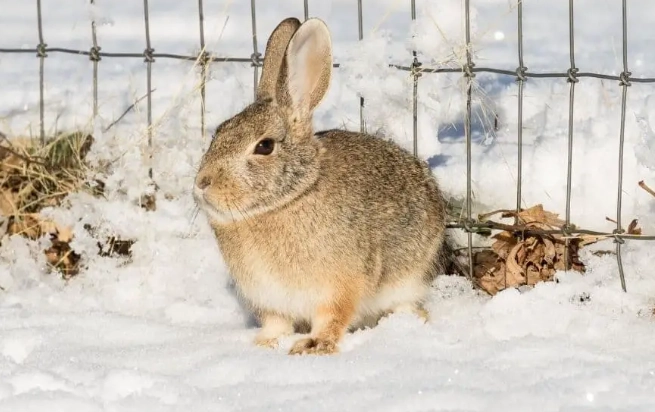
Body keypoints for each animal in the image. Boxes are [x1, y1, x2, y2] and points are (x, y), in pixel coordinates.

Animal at [193, 16, 447, 356]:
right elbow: (276, 323)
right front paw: (265, 344)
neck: (288, 197)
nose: (202, 182)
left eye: (264, 146)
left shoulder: (340, 287)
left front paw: (314, 346)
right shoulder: (268, 299)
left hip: (408, 277)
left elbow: (333, 318)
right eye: (218, 133)